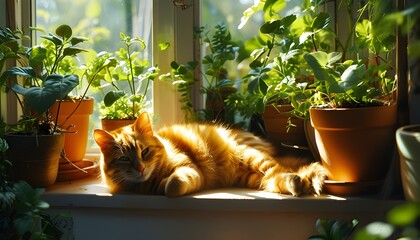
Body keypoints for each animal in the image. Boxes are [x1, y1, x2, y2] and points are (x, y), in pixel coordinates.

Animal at [93, 112, 326, 197]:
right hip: (255, 178)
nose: (141, 168)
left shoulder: (189, 169)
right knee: (275, 179)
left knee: (281, 170)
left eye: (145, 151)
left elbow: (172, 185)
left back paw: (297, 183)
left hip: (254, 159)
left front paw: (165, 185)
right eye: (124, 158)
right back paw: (298, 185)